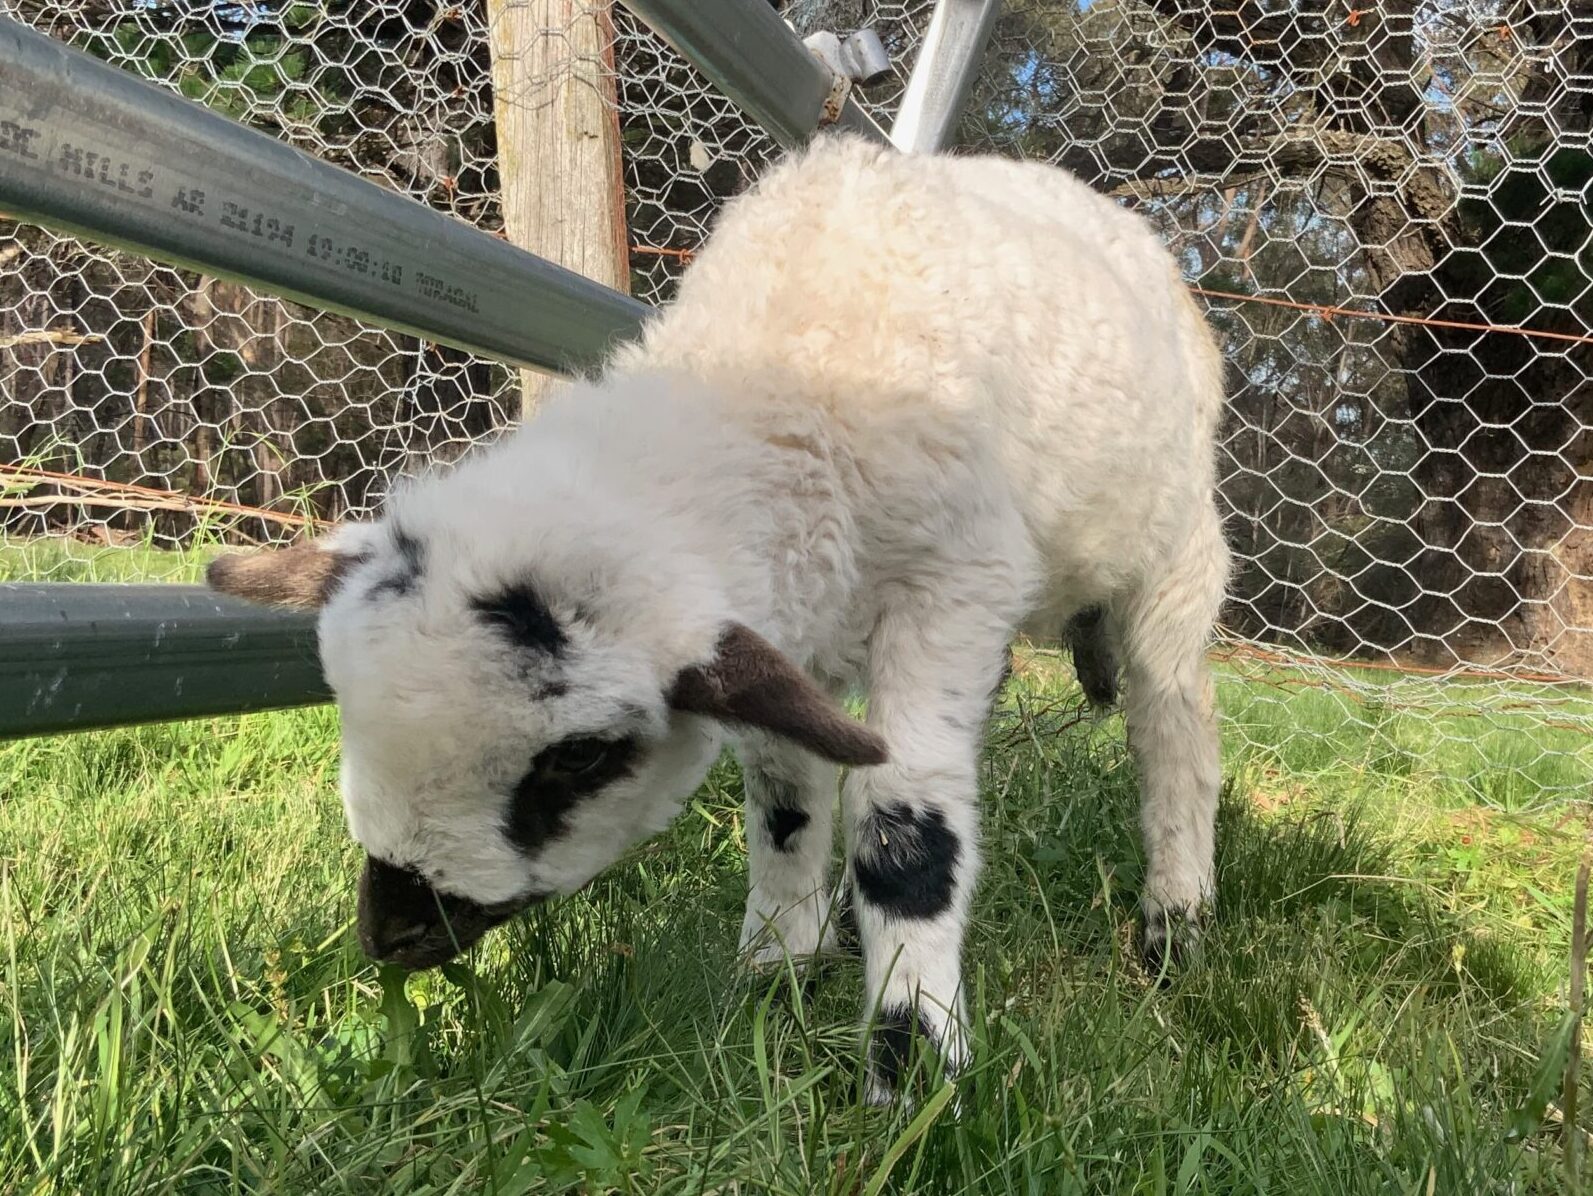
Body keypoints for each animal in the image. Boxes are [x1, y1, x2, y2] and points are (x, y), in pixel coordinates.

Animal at [208, 132, 1229, 1102]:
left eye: (580, 759)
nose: (392, 934)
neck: (779, 381)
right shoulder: (789, 636)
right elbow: (784, 795)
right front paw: (774, 971)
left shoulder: (952, 585)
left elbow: (905, 826)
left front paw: (913, 1069)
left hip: (1177, 551)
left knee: (1174, 727)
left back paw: (1176, 924)